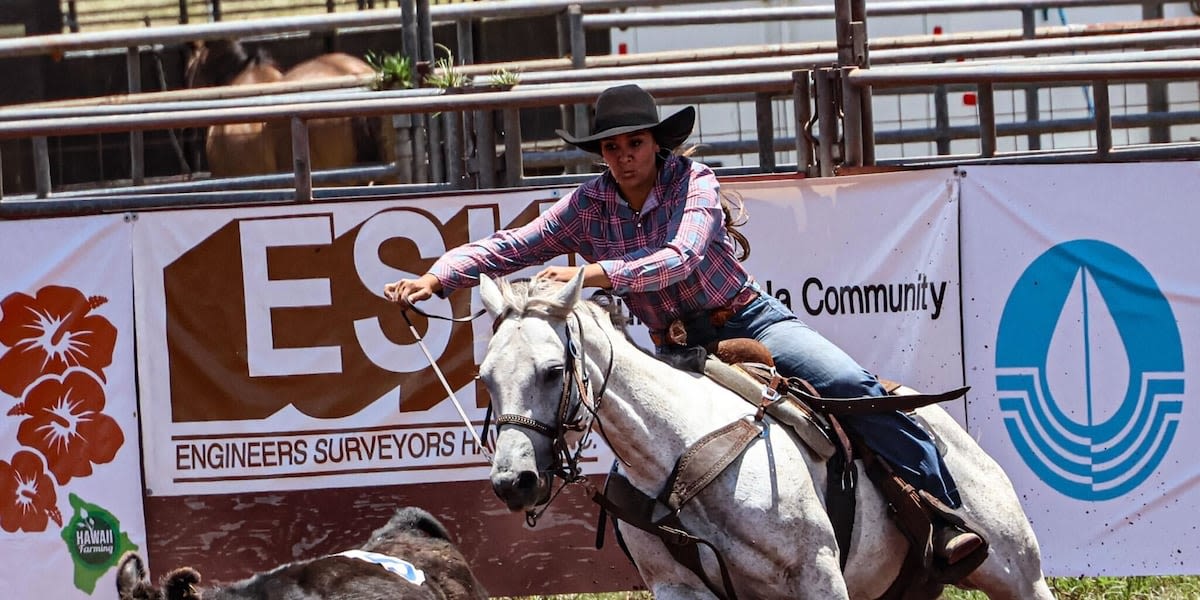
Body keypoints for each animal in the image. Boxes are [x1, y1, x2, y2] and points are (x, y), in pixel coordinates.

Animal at [477, 274, 1051, 600]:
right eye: (484, 378)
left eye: (553, 370)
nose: (513, 482)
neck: (682, 461)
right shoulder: (677, 588)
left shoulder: (820, 579)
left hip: (1020, 574)